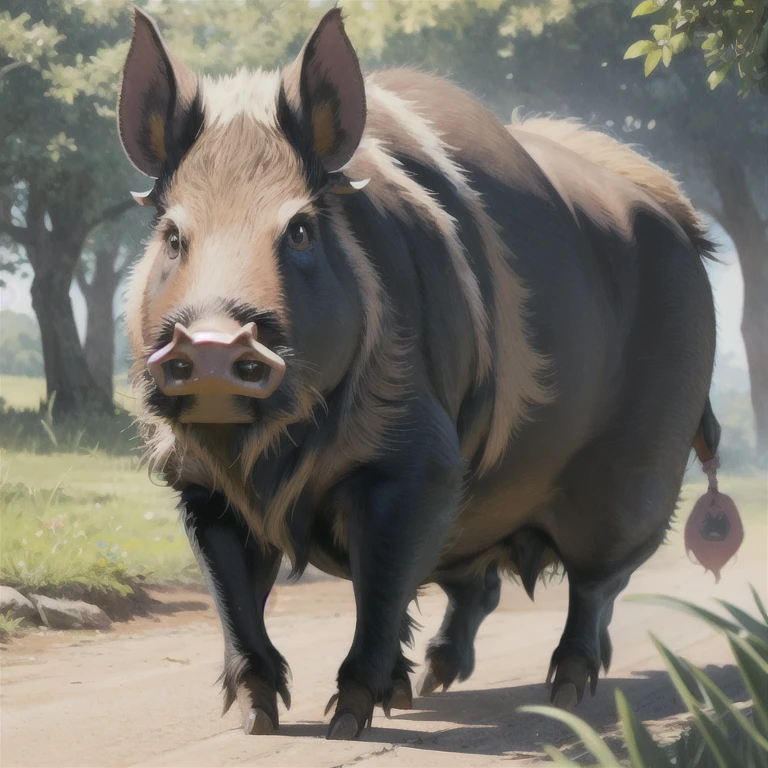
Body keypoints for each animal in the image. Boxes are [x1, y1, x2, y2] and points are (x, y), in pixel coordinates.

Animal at [118, 7, 719, 740]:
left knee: (598, 579)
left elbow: (381, 584)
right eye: (174, 235)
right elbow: (232, 596)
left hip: (642, 469)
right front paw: (260, 721)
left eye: (300, 230)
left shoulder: (419, 463)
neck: (272, 462)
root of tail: (679, 218)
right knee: (478, 583)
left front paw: (348, 721)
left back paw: (568, 692)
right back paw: (432, 683)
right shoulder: (199, 484)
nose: (210, 341)